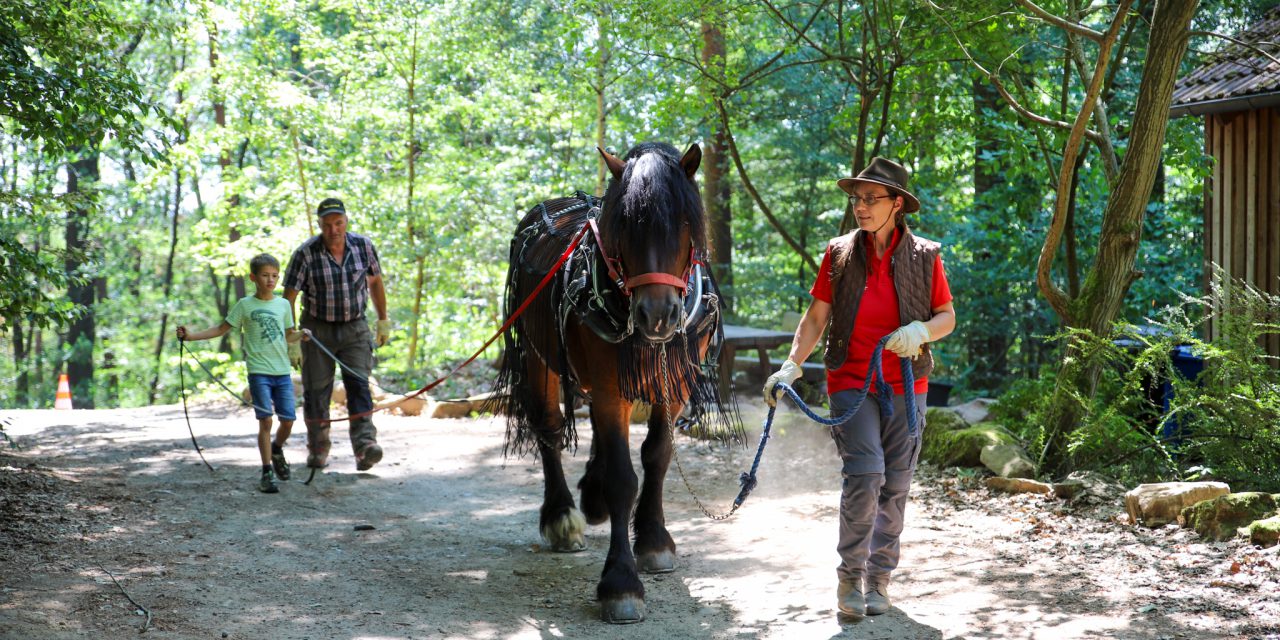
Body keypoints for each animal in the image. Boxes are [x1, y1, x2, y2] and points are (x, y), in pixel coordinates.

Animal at [491, 141, 742, 624]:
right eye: (624, 225)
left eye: (685, 223)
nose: (657, 315)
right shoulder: (611, 388)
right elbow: (624, 477)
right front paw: (621, 584)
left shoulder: (674, 386)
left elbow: (657, 456)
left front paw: (654, 540)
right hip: (537, 354)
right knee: (548, 427)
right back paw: (561, 516)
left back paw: (591, 495)